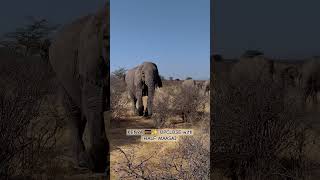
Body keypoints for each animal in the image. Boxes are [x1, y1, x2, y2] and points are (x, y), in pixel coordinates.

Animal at [48, 4, 110, 173]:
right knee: (74, 111)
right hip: (61, 78)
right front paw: (94, 164)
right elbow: (93, 104)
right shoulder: (90, 59)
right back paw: (80, 163)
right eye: (105, 38)